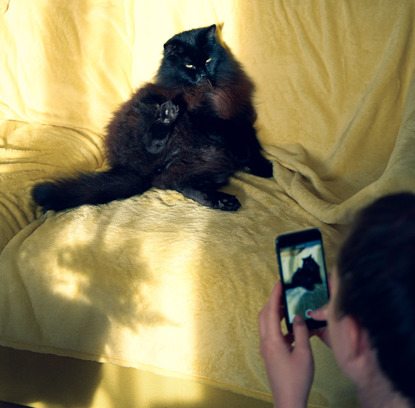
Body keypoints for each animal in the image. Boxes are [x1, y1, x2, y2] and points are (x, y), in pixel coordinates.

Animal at [32, 24, 272, 214]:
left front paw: (261, 167)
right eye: (189, 65)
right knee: (163, 161)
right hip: (150, 109)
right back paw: (166, 119)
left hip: (207, 162)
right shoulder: (203, 117)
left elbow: (251, 142)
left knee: (183, 184)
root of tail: (135, 172)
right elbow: (229, 133)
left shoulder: (240, 115)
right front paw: (243, 155)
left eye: (208, 59)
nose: (203, 74)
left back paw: (224, 201)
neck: (210, 90)